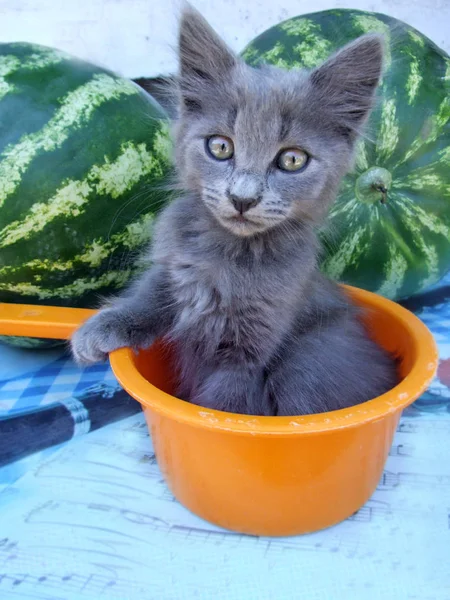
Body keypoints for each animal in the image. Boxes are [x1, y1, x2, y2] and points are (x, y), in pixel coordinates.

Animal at [71, 5, 398, 418]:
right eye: (220, 147)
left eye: (292, 159)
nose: (243, 198)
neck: (226, 257)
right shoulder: (175, 261)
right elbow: (153, 289)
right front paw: (105, 325)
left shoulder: (248, 349)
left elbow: (226, 402)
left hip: (310, 364)